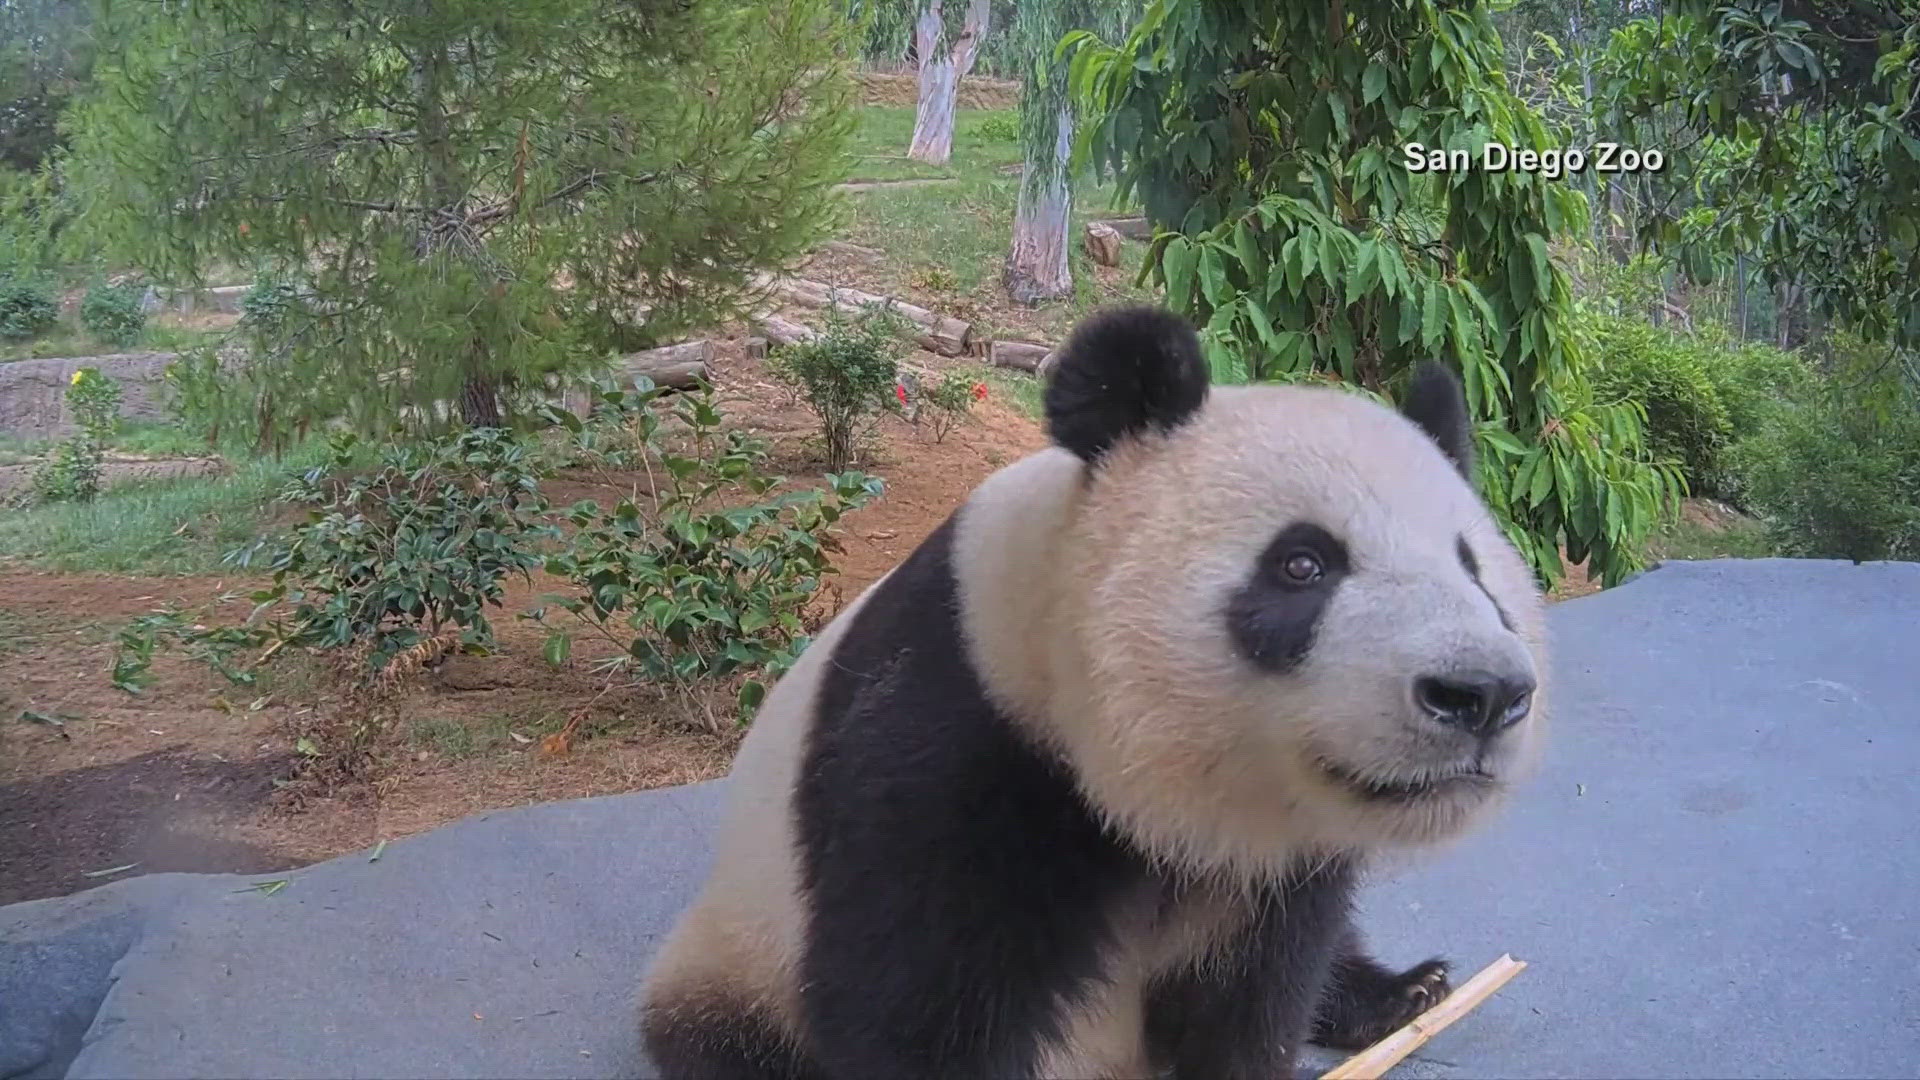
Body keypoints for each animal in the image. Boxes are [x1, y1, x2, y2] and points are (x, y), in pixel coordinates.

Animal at [637, 303, 1551, 1076]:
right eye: (1302, 564)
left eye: (1476, 570)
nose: (1480, 694)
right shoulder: (954, 741)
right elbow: (916, 1007)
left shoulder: (1277, 869)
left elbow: (1260, 991)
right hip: (747, 950)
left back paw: (1406, 990)